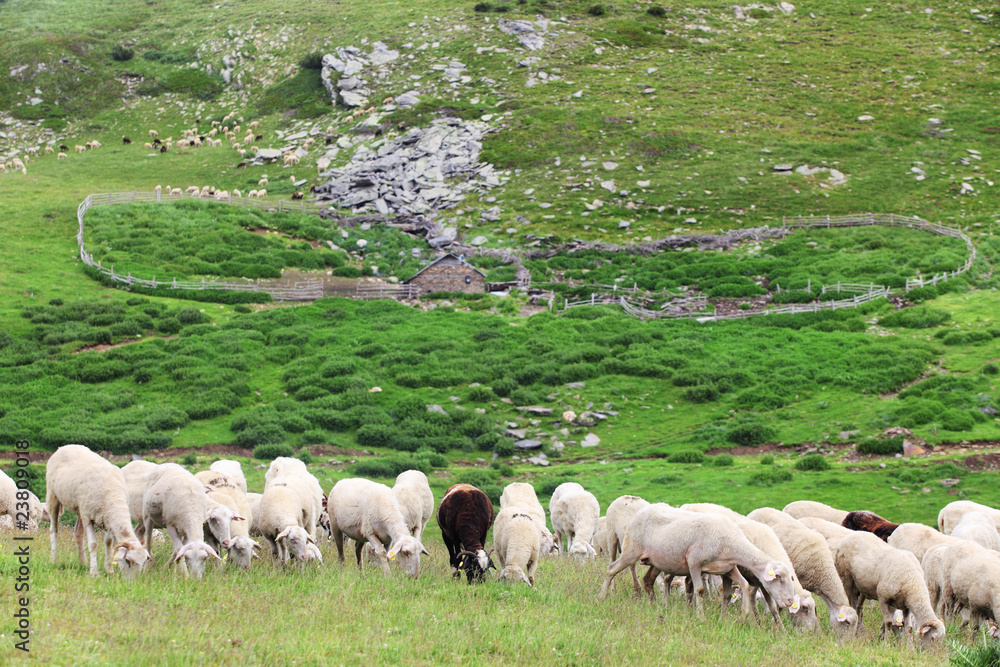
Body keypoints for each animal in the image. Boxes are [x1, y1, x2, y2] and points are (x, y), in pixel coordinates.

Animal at [46, 445, 149, 578]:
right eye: (127, 560)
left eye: (143, 561)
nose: (134, 581)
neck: (113, 497)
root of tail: (65, 446)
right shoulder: (89, 518)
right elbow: (93, 544)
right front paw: (94, 572)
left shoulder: (108, 518)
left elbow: (108, 541)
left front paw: (109, 569)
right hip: (53, 495)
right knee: (54, 529)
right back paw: (54, 559)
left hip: (80, 508)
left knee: (78, 533)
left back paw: (83, 562)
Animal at [600, 505, 797, 621]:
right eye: (779, 577)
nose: (789, 602)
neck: (731, 541)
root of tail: (640, 512)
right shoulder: (694, 562)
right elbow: (700, 590)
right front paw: (700, 617)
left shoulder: (728, 568)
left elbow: (744, 585)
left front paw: (742, 616)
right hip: (631, 550)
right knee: (611, 569)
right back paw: (602, 597)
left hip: (655, 560)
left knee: (647, 580)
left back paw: (654, 605)